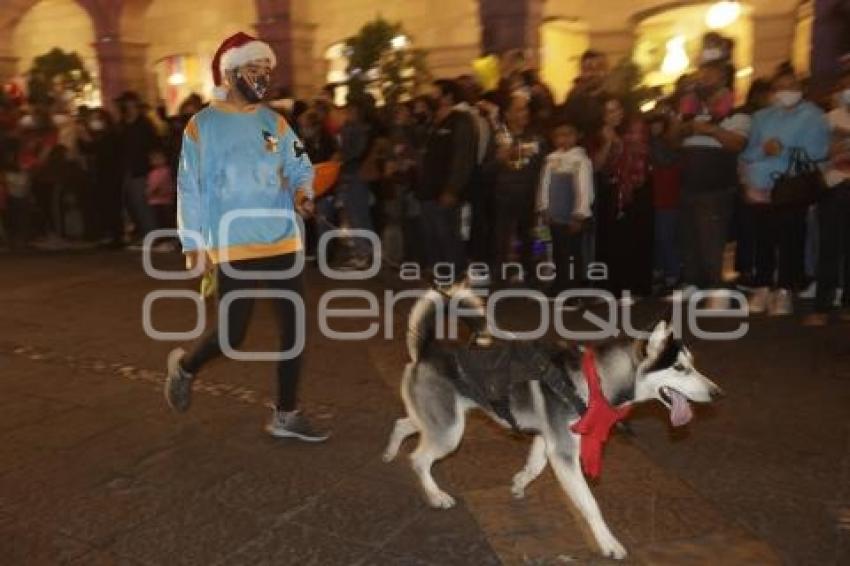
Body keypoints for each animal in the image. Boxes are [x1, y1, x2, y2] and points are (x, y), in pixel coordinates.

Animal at [384, 290, 724, 560]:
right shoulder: (563, 450)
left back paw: (389, 452)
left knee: (403, 423)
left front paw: (520, 482)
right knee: (419, 459)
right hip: (450, 432)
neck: (595, 382)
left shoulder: (547, 439)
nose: (717, 393)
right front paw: (608, 542)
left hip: (440, 422)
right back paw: (435, 495)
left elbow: (534, 467)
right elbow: (590, 503)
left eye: (692, 364)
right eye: (679, 367)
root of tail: (426, 349)